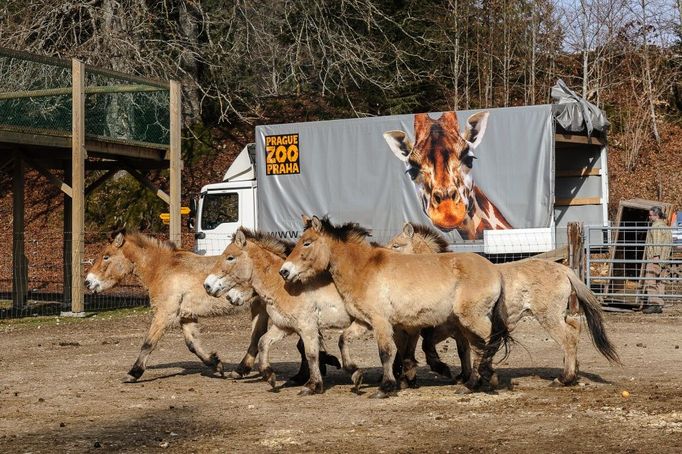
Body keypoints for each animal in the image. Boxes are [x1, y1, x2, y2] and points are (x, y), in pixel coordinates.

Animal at [86, 231, 272, 384]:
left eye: (106, 257)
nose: (88, 282)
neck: (161, 268)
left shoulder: (165, 314)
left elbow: (148, 343)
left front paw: (133, 373)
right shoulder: (186, 315)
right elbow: (192, 344)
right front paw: (216, 364)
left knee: (256, 337)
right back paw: (241, 371)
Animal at [278, 216, 508, 398]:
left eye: (307, 243)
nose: (284, 271)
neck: (363, 269)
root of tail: (495, 271)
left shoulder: (381, 322)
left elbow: (386, 353)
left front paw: (385, 387)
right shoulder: (364, 321)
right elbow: (343, 340)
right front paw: (356, 374)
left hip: (472, 319)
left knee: (489, 342)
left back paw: (484, 379)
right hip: (466, 323)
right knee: (478, 346)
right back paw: (472, 383)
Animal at [386, 222, 620, 384]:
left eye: (396, 245)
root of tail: (563, 269)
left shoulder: (448, 327)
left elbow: (431, 346)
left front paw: (449, 371)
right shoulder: (459, 330)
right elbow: (464, 351)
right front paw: (465, 376)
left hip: (549, 317)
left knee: (568, 339)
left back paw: (564, 379)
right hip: (560, 315)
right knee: (574, 331)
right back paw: (572, 371)